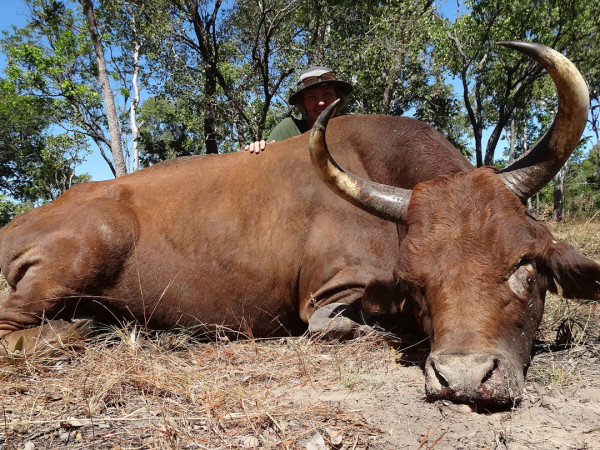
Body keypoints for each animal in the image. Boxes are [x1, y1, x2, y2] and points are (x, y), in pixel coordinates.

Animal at [0, 42, 596, 408]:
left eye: (526, 267)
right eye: (417, 284)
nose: (467, 379)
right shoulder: (326, 298)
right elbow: (338, 328)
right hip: (83, 253)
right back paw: (92, 328)